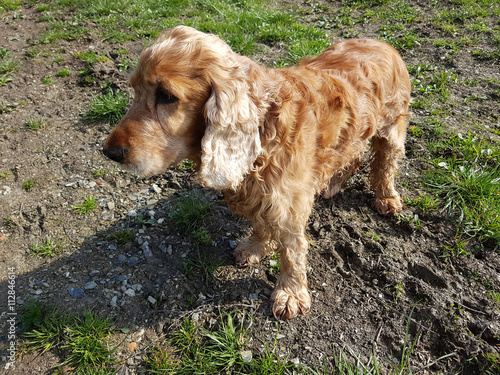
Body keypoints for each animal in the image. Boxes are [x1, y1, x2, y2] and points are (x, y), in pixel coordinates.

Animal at [102, 25, 410, 320]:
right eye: (134, 90)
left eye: (166, 96)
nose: (109, 152)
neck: (265, 129)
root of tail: (383, 43)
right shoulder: (261, 194)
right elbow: (261, 224)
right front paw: (255, 248)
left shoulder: (289, 202)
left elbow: (292, 250)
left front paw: (290, 294)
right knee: (354, 156)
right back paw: (333, 184)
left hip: (392, 128)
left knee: (385, 165)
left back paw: (386, 199)